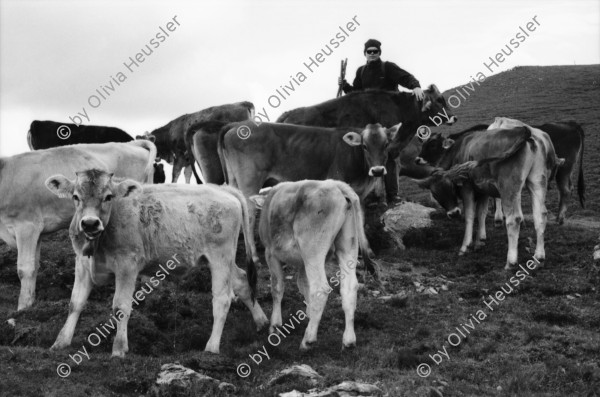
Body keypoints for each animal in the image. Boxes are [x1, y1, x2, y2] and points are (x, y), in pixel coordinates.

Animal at [0, 140, 155, 310]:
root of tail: (133, 143)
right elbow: (35, 265)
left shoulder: (27, 226)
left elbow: (25, 269)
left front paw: (22, 309)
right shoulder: (37, 233)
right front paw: (30, 303)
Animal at [43, 169, 266, 356]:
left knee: (222, 299)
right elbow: (75, 303)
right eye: (75, 197)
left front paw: (119, 349)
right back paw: (262, 322)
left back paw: (211, 347)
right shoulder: (82, 265)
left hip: (221, 257)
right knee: (242, 280)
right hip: (222, 261)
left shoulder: (127, 266)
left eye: (108, 196)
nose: (90, 223)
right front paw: (60, 342)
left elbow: (121, 307)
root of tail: (223, 189)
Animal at [258, 180, 372, 350]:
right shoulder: (302, 263)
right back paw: (348, 340)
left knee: (320, 289)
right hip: (347, 245)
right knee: (349, 287)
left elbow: (277, 288)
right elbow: (304, 285)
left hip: (312, 250)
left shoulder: (270, 253)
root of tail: (334, 184)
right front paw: (309, 314)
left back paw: (308, 339)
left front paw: (275, 325)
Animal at [418, 120, 564, 270]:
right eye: (435, 193)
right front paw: (479, 241)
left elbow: (470, 215)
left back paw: (511, 261)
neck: (460, 150)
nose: (453, 213)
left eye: (450, 188)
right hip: (537, 182)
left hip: (508, 187)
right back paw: (539, 257)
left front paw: (465, 246)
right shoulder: (483, 190)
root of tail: (527, 131)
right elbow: (481, 213)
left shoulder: (467, 187)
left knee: (514, 219)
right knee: (540, 215)